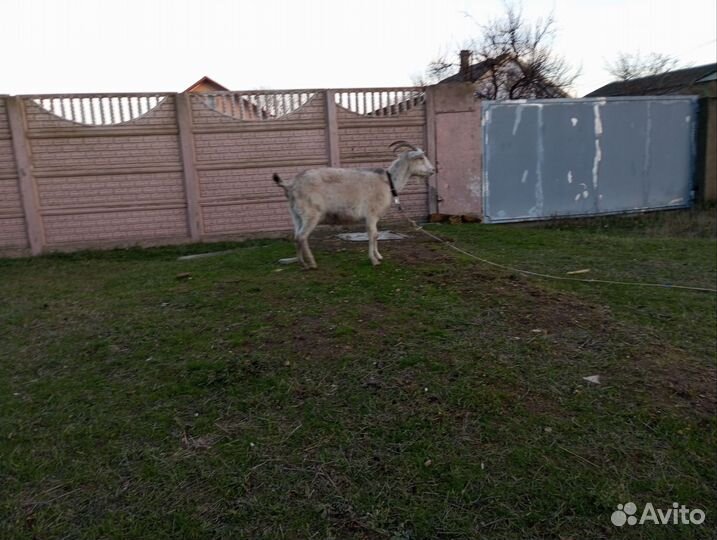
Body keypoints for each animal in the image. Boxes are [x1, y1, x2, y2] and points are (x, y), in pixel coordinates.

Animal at [273, 141, 435, 268]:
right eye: (421, 157)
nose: (433, 170)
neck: (388, 182)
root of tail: (290, 185)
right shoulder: (371, 214)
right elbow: (372, 234)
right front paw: (374, 260)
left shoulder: (374, 217)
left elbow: (375, 235)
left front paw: (379, 256)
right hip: (311, 214)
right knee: (302, 236)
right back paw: (311, 263)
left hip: (295, 214)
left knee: (296, 236)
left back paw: (300, 261)